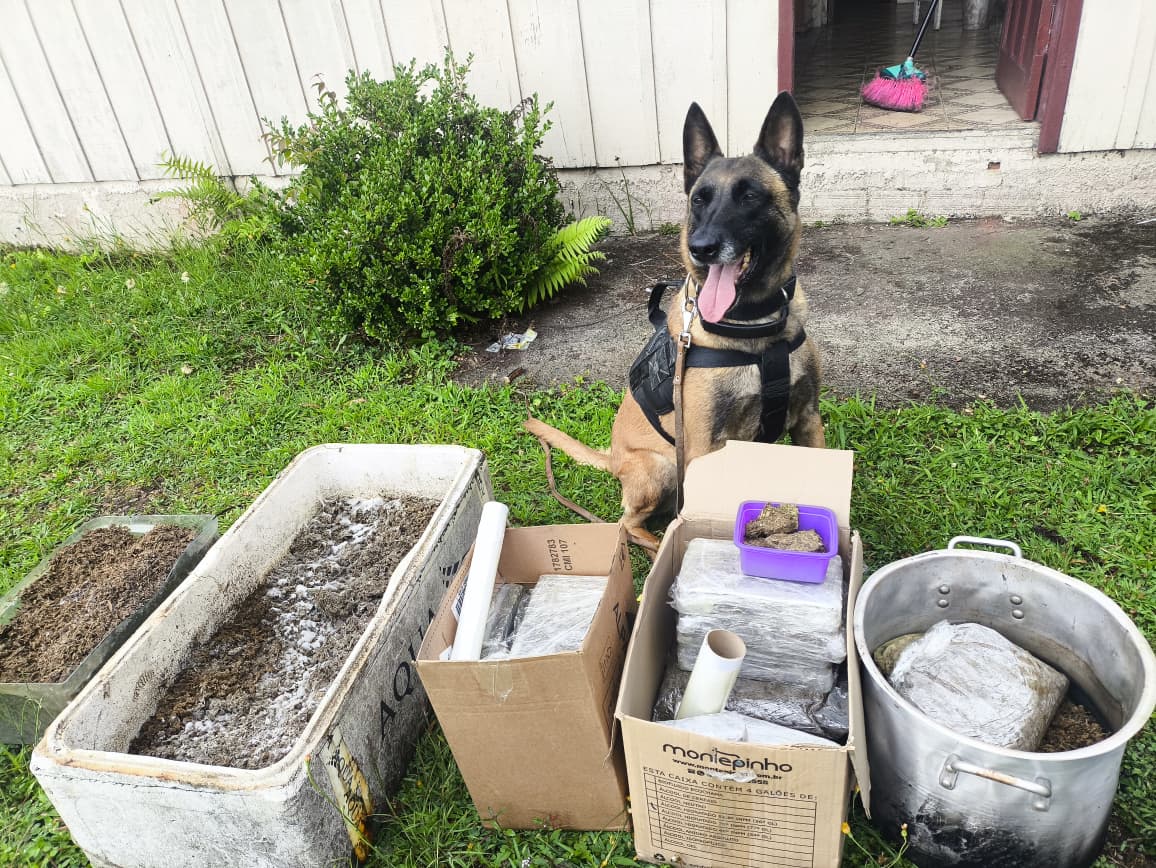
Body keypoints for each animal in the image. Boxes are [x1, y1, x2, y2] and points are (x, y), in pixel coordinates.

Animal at [525, 92, 825, 549]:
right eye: (699, 199)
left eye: (750, 196)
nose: (701, 247)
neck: (754, 329)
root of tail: (613, 459)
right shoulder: (705, 448)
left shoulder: (808, 420)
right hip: (661, 466)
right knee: (627, 524)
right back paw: (654, 544)